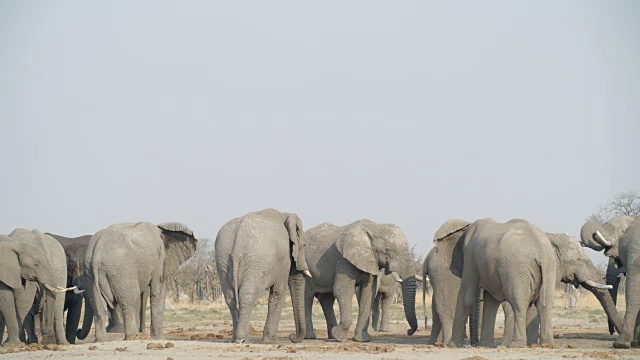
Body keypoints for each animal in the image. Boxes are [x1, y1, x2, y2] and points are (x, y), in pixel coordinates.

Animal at [215, 208, 310, 344]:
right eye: (304, 245)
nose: (291, 336)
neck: (285, 215)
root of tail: (238, 246)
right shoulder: (283, 258)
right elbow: (278, 292)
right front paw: (271, 342)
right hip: (256, 260)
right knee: (247, 294)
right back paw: (243, 339)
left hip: (222, 259)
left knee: (230, 298)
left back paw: (236, 339)